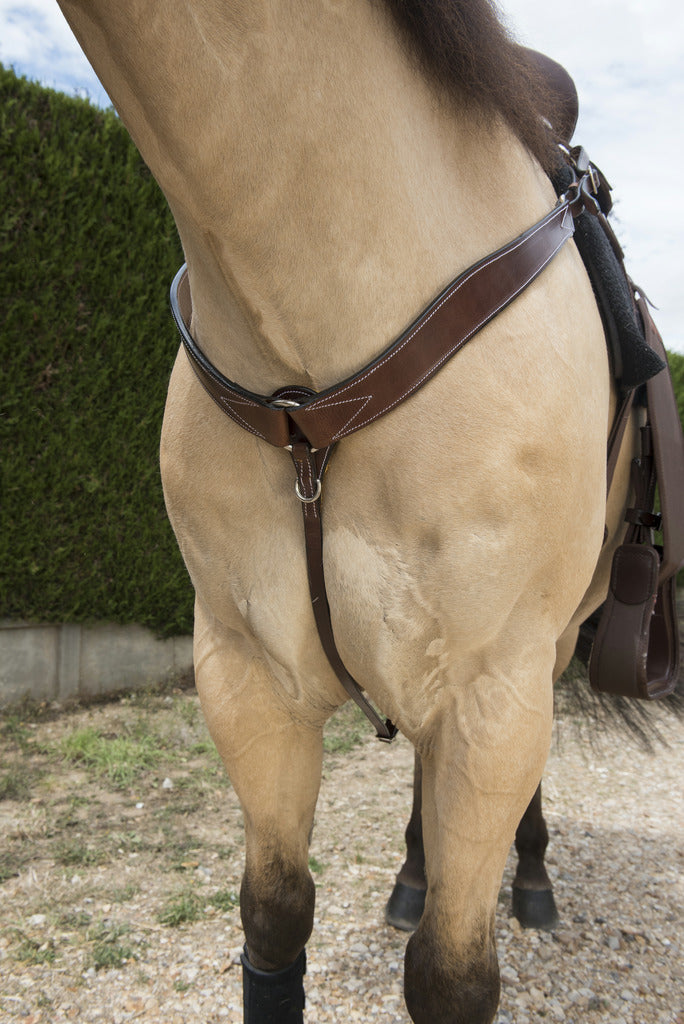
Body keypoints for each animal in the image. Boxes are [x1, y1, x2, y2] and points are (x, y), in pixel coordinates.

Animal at [52, 2, 679, 1024]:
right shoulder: (247, 676)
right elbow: (273, 922)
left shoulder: (494, 693)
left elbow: (452, 978)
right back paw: (416, 877)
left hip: (548, 648)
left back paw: (533, 882)